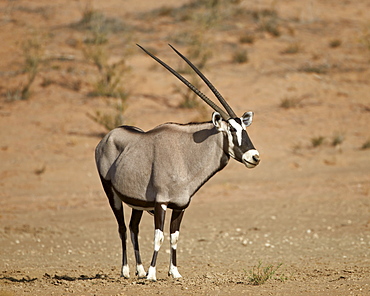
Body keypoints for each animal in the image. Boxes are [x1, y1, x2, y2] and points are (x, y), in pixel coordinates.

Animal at [94, 43, 260, 280]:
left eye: (244, 128)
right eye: (231, 129)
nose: (253, 157)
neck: (185, 154)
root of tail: (108, 136)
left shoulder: (181, 206)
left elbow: (174, 236)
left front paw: (174, 272)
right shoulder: (161, 203)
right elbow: (159, 236)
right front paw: (153, 274)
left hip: (137, 203)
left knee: (134, 228)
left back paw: (139, 270)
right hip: (112, 194)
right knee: (123, 228)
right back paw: (126, 271)